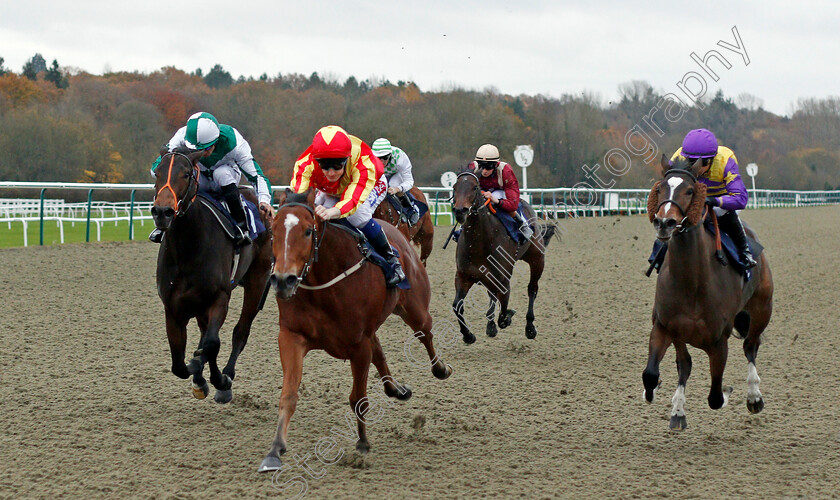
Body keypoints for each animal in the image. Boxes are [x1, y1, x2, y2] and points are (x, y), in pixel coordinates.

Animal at [149, 147, 270, 402]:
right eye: (157, 173)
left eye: (186, 174)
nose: (163, 212)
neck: (187, 248)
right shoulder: (173, 307)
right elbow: (179, 364)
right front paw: (200, 378)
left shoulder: (219, 297)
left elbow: (212, 344)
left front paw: (219, 380)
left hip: (258, 279)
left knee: (240, 332)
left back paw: (226, 376)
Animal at [258, 188, 450, 472]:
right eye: (273, 231)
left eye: (307, 231)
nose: (283, 280)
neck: (325, 281)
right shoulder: (291, 336)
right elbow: (289, 395)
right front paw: (274, 450)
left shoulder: (358, 346)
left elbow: (359, 398)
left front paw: (362, 443)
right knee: (380, 349)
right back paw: (395, 388)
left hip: (414, 307)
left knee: (425, 333)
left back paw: (440, 368)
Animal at [450, 172, 556, 344]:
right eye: (454, 187)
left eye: (475, 187)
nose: (460, 211)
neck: (478, 243)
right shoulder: (463, 275)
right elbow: (457, 306)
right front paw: (468, 335)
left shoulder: (503, 279)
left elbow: (504, 310)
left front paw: (508, 317)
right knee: (492, 294)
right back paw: (490, 325)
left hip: (537, 259)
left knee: (532, 289)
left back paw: (530, 327)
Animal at [644, 156, 776, 430]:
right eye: (660, 188)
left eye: (690, 191)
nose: (664, 222)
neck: (691, 283)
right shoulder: (664, 327)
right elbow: (652, 374)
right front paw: (660, 395)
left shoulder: (718, 342)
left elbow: (715, 396)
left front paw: (728, 392)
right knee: (685, 364)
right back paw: (678, 411)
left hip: (762, 310)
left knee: (751, 346)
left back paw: (754, 397)